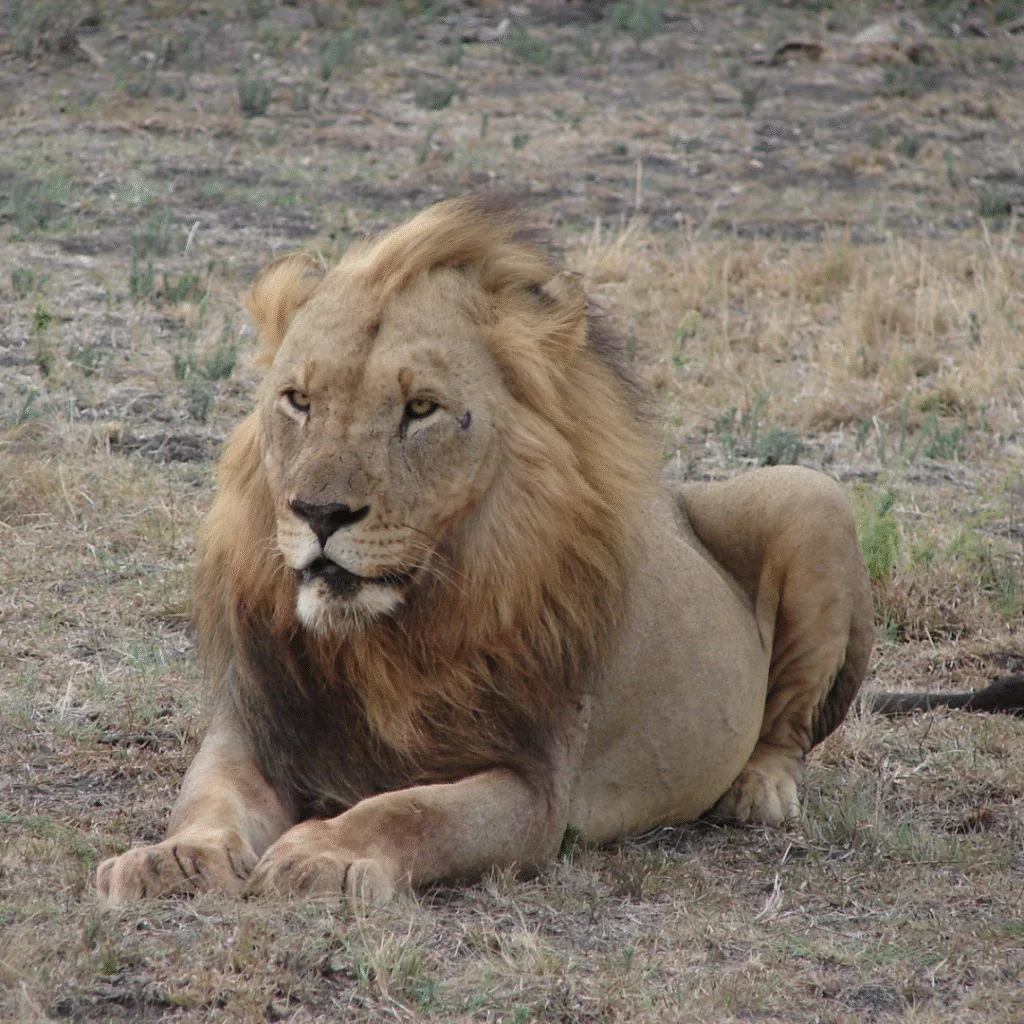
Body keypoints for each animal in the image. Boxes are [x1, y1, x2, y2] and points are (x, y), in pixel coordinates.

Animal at [97, 195, 878, 906]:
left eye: (421, 410)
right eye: (298, 400)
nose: (319, 513)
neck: (382, 640)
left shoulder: (535, 785)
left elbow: (412, 812)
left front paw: (325, 856)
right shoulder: (256, 725)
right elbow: (210, 796)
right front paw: (174, 858)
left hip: (811, 493)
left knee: (790, 725)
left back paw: (757, 790)